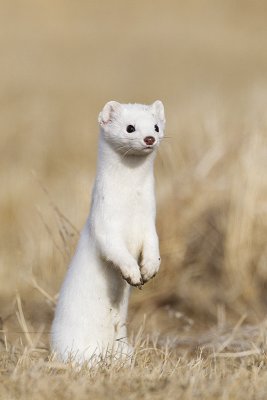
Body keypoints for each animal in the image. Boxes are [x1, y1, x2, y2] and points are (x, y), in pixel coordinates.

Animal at [50, 99, 165, 362]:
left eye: (156, 126)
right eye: (130, 127)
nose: (149, 139)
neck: (131, 208)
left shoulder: (148, 221)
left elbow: (153, 244)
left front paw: (149, 268)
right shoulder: (104, 223)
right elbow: (114, 249)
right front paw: (132, 273)